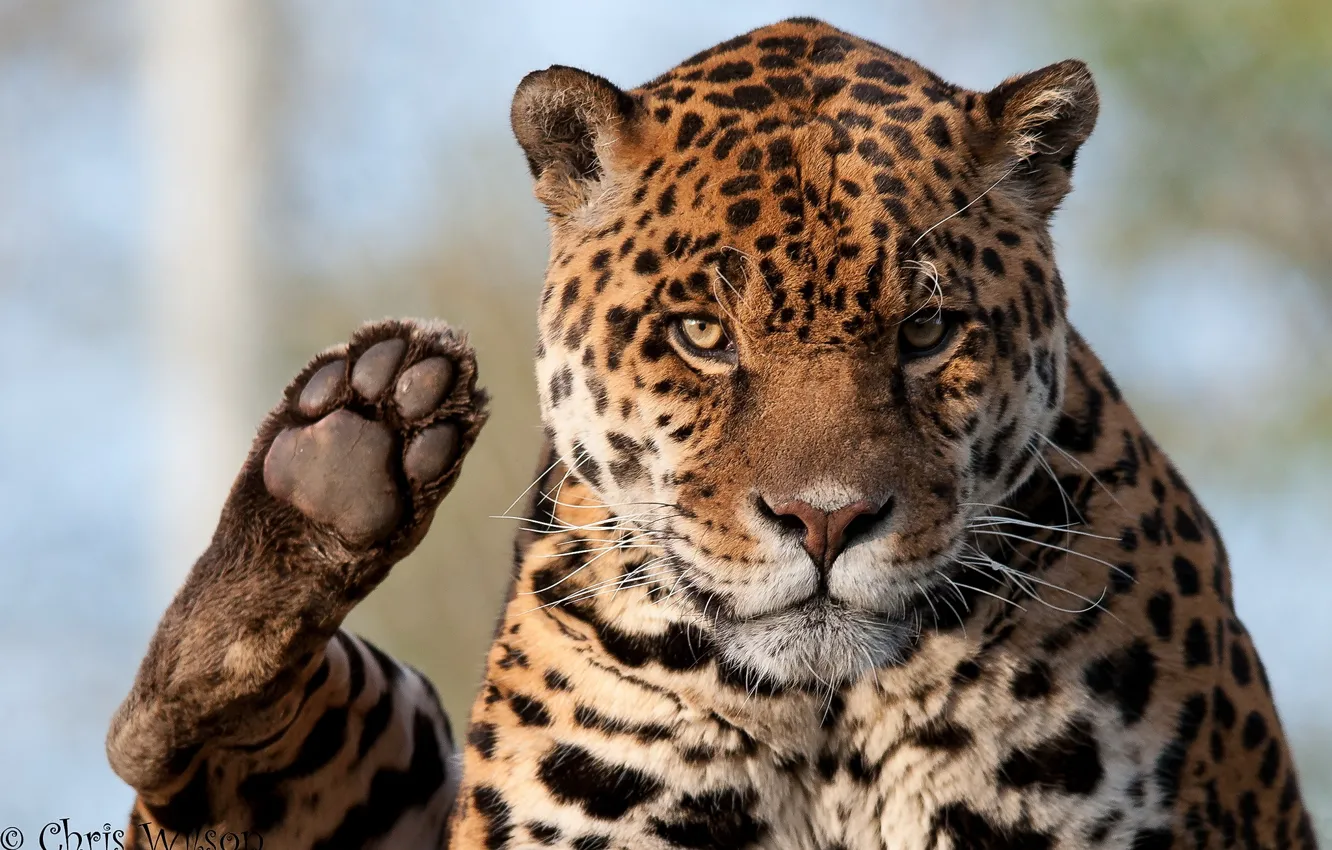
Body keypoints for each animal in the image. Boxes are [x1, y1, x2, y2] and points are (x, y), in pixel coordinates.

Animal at [106, 17, 1317, 850]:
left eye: (928, 332)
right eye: (701, 334)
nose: (825, 522)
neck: (831, 727)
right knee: (166, 748)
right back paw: (346, 449)